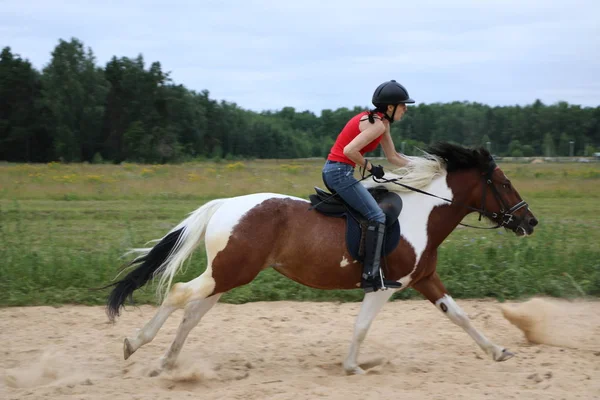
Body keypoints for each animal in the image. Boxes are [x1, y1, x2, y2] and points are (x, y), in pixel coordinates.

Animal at [104, 143, 540, 376]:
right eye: (504, 183)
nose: (530, 222)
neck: (423, 215)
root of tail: (226, 204)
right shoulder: (388, 286)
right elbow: (362, 326)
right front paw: (352, 367)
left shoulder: (424, 279)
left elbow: (461, 316)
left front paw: (498, 351)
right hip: (229, 273)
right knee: (179, 294)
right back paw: (135, 344)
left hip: (228, 275)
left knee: (191, 313)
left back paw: (166, 362)